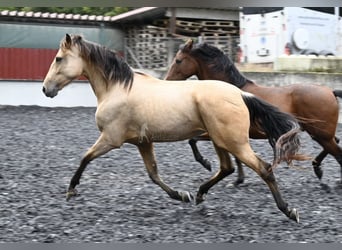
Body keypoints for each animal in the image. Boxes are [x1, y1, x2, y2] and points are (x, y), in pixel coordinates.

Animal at [165, 38, 342, 185]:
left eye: (178, 60)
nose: (167, 81)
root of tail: (330, 92)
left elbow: (193, 140)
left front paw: (206, 163)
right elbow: (235, 156)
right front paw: (239, 179)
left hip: (321, 134)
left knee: (338, 152)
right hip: (320, 133)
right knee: (335, 144)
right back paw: (317, 168)